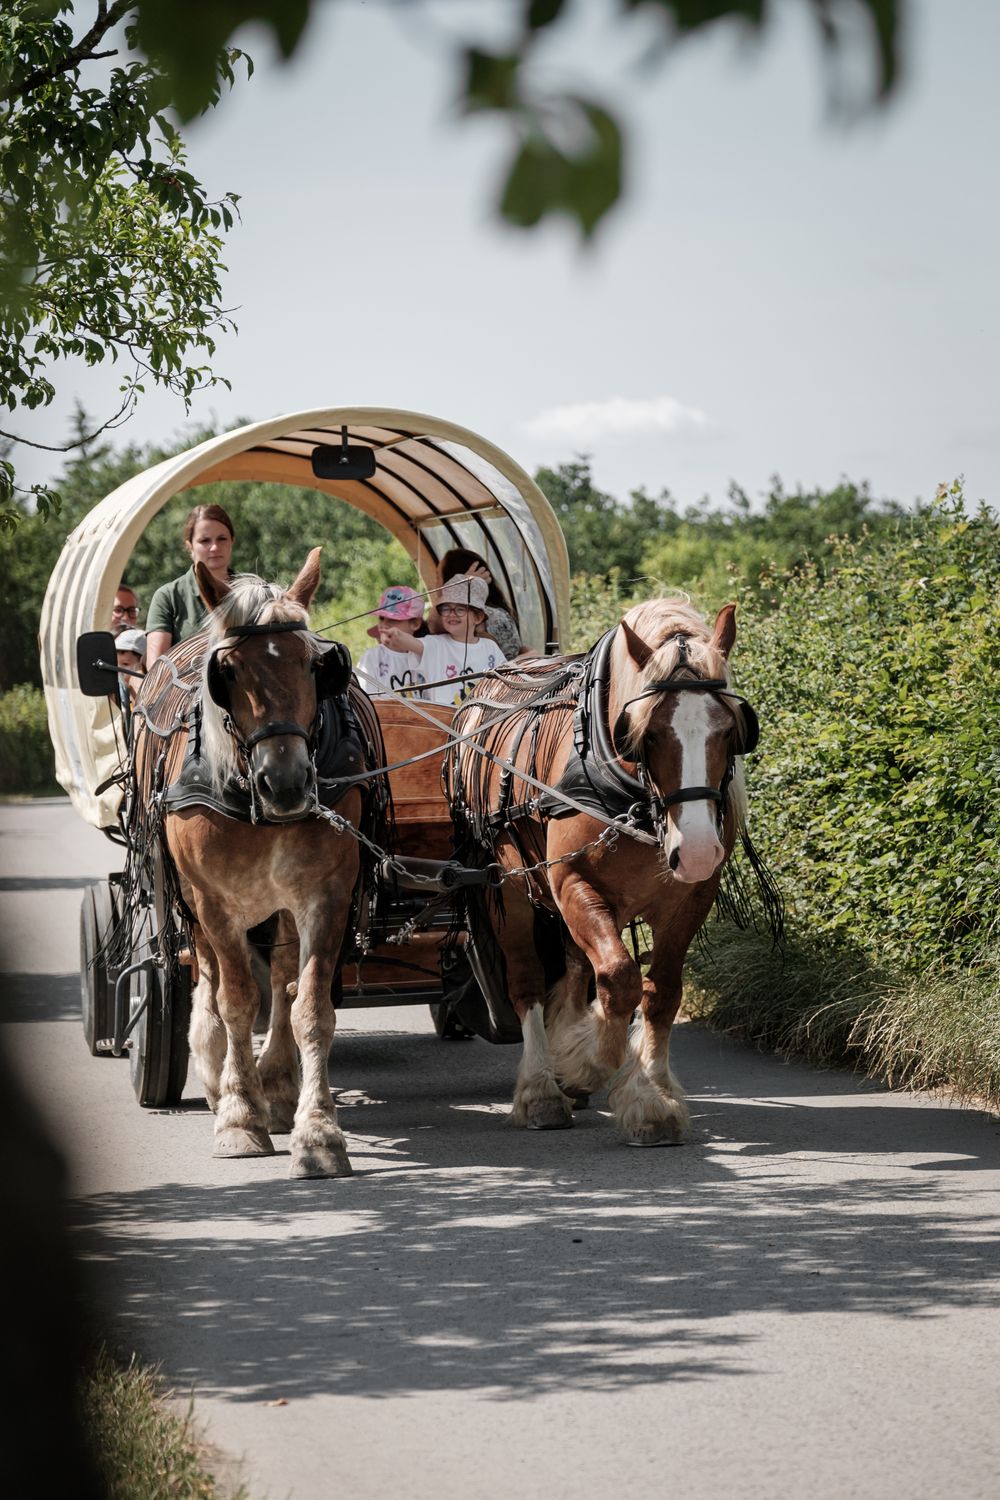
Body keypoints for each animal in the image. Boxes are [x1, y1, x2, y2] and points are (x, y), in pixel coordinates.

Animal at [128, 546, 371, 1176]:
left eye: (314, 665)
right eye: (229, 672)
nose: (285, 783)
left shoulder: (327, 894)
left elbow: (309, 1007)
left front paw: (318, 1131)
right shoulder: (214, 900)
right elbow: (237, 1000)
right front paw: (240, 1118)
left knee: (281, 981)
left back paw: (279, 1089)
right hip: (192, 902)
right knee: (212, 978)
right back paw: (221, 1079)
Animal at [449, 597, 773, 1146]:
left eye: (731, 730)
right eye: (647, 733)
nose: (698, 849)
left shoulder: (690, 898)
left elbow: (660, 992)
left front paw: (652, 1097)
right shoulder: (571, 883)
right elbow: (620, 979)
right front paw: (586, 1064)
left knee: (578, 968)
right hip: (512, 886)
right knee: (527, 981)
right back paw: (542, 1090)